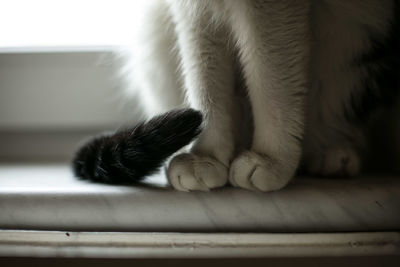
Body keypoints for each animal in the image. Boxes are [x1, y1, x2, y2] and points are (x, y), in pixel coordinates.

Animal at [73, 0, 398, 193]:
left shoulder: (273, 9)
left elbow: (271, 80)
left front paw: (271, 158)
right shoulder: (192, 11)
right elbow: (205, 83)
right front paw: (205, 156)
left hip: (352, 38)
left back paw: (329, 153)